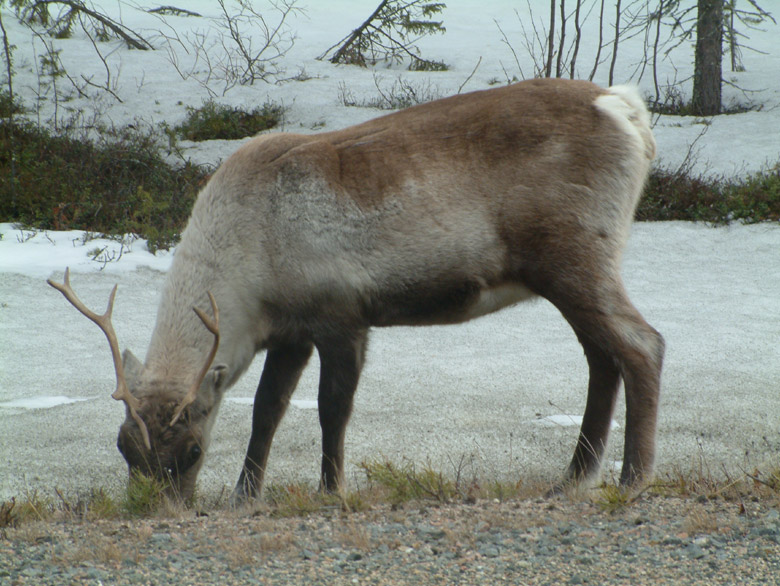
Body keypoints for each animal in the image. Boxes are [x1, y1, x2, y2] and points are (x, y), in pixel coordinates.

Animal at [48, 78, 664, 503]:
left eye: (193, 449)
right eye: (124, 446)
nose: (153, 509)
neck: (248, 270)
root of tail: (626, 108)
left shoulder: (341, 316)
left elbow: (330, 411)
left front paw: (330, 490)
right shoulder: (291, 333)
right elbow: (267, 412)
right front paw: (246, 495)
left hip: (575, 255)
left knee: (642, 344)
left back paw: (631, 478)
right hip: (570, 270)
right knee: (602, 356)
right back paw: (574, 478)